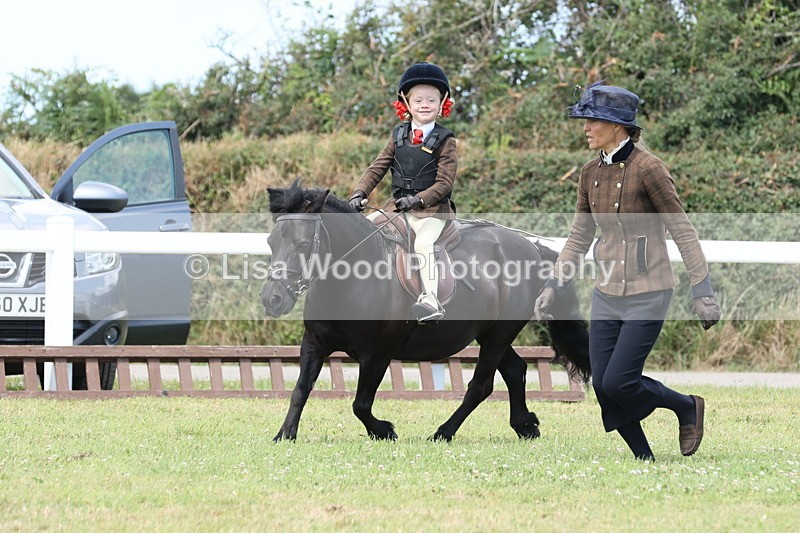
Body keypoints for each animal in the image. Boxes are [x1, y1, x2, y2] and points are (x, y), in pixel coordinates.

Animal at [261, 181, 590, 442]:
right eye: (270, 241)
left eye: (303, 244)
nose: (272, 299)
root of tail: (531, 247)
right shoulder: (314, 344)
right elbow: (301, 389)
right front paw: (285, 434)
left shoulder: (376, 355)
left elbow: (360, 405)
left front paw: (384, 431)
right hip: (489, 334)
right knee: (514, 369)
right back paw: (525, 425)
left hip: (500, 333)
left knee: (480, 385)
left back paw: (444, 432)